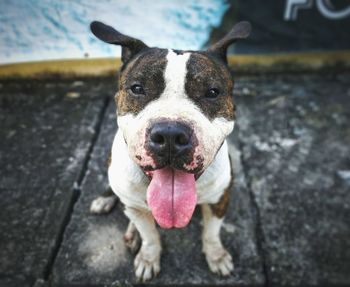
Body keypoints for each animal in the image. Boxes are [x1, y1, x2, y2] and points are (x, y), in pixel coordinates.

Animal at [88, 20, 252, 284]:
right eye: (137, 88)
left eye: (212, 92)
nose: (170, 136)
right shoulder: (136, 207)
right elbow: (150, 236)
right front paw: (148, 257)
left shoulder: (220, 199)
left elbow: (212, 233)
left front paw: (216, 256)